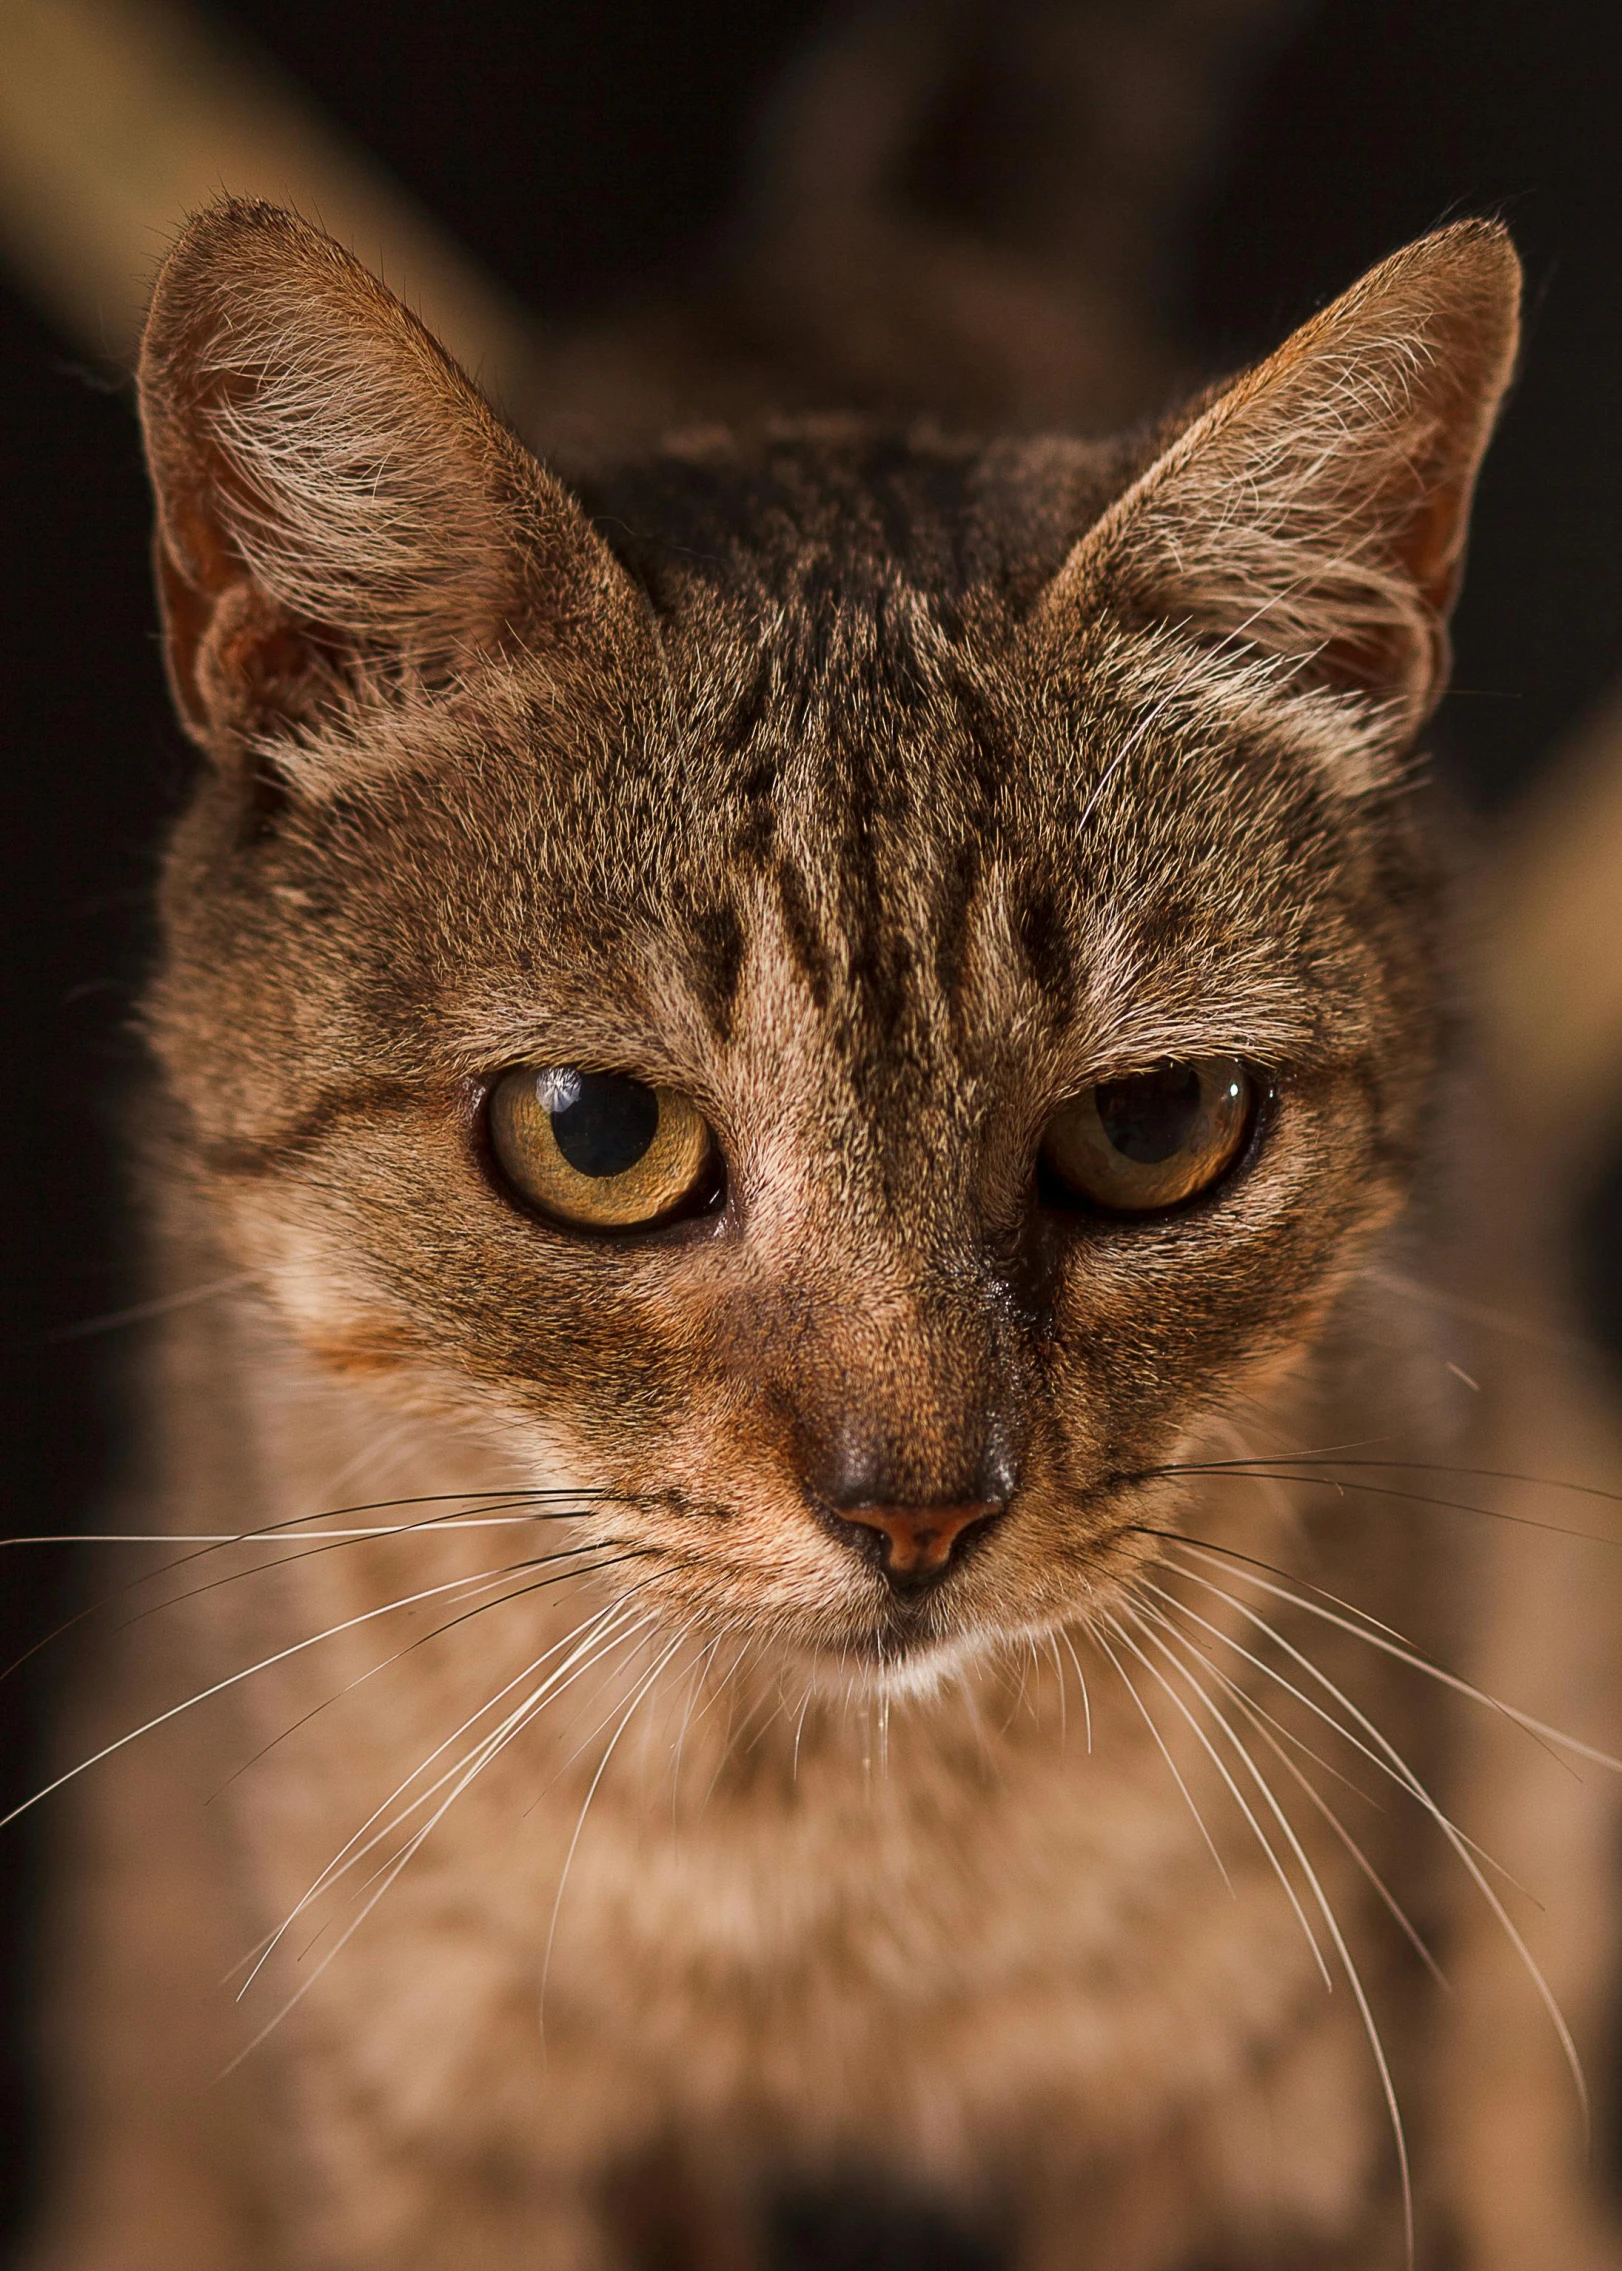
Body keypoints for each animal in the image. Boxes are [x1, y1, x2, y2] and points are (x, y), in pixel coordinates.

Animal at [22, 195, 1617, 2271]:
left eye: (1155, 1127)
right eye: (595, 1132)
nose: (916, 1513)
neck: (824, 1865)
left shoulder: (1284, 2104)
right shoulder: (440, 2122)